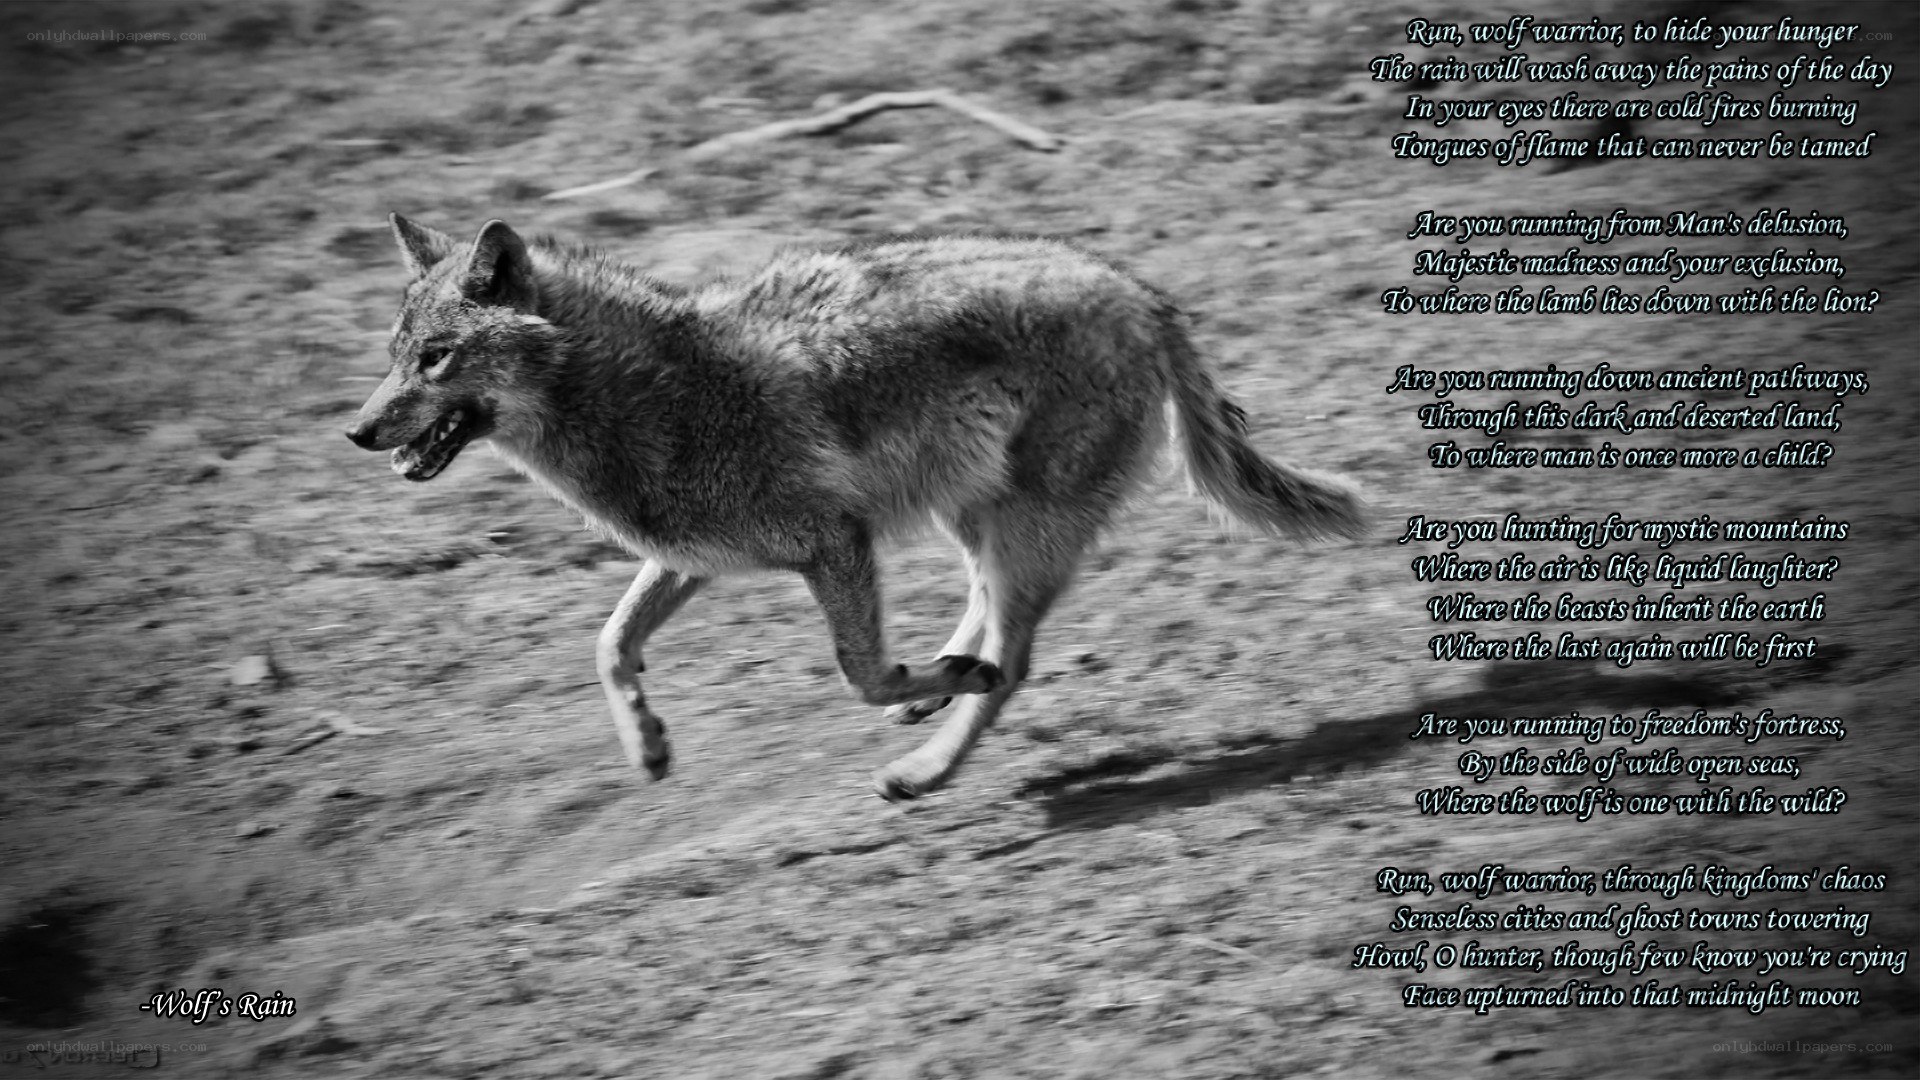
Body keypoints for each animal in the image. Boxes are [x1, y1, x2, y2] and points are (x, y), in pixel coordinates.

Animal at [347, 216, 1366, 799]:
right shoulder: (691, 559)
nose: (355, 432)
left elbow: (861, 673)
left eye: (436, 358)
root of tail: (1144, 294)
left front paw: (927, 691)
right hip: (973, 513)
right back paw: (946, 683)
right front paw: (648, 749)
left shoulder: (834, 541)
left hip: (1018, 527)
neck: (651, 394)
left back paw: (927, 763)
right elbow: (608, 645)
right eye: (396, 356)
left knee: (1015, 659)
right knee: (988, 614)